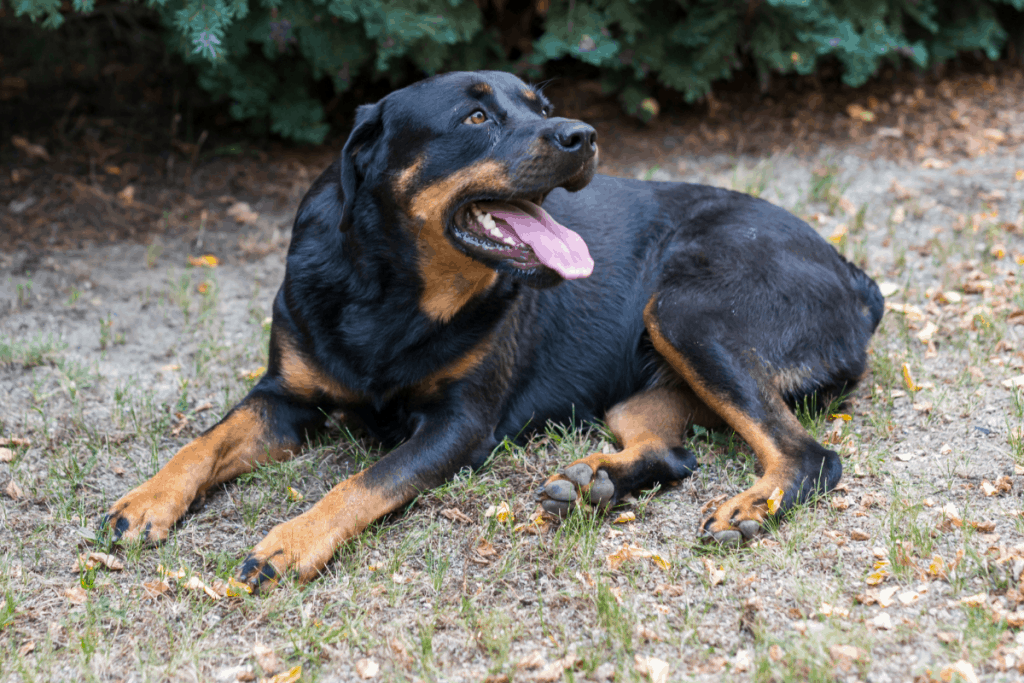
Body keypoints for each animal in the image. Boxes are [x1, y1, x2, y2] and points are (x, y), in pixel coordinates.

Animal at [105, 72, 888, 589]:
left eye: (542, 107)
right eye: (475, 118)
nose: (581, 134)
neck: (393, 289)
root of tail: (855, 275)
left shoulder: (459, 424)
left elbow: (363, 481)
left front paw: (290, 541)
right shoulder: (282, 398)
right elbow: (203, 443)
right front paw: (145, 501)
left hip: (685, 312)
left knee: (810, 455)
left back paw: (751, 503)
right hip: (644, 381)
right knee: (672, 451)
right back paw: (594, 483)